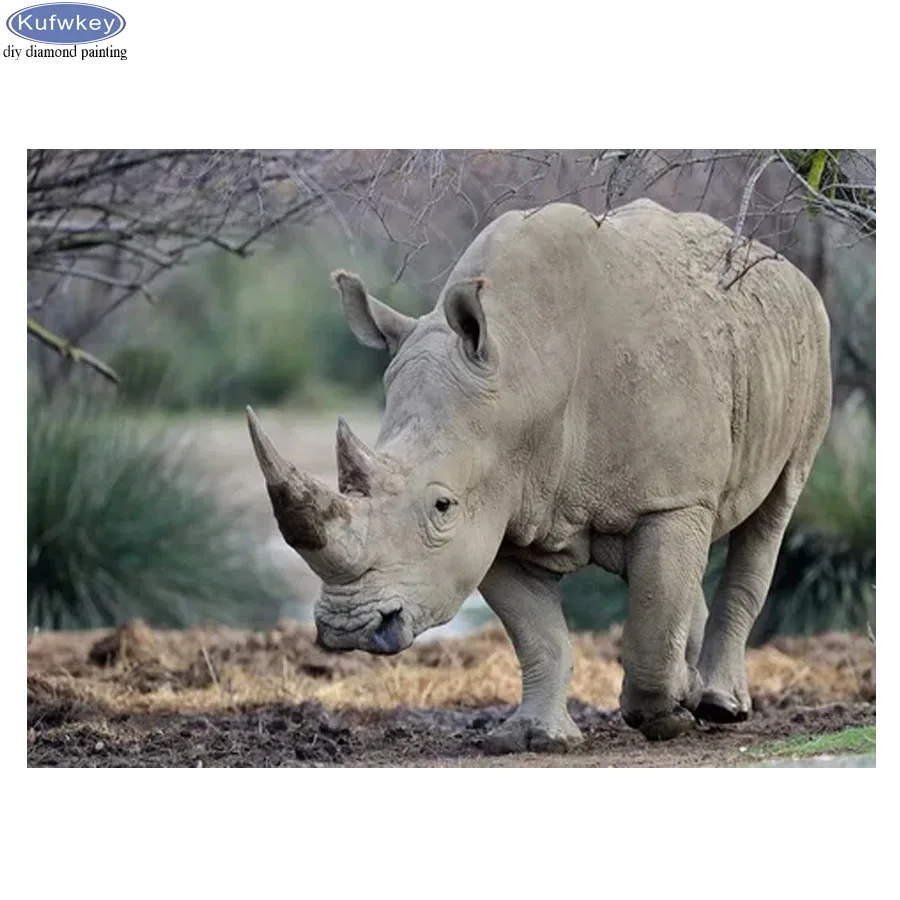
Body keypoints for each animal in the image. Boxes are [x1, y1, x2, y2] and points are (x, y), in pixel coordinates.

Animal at [247, 198, 831, 752]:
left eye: (442, 506)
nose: (349, 628)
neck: (522, 373)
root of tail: (787, 269)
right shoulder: (498, 512)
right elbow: (540, 636)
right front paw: (534, 737)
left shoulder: (671, 497)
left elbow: (650, 616)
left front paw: (664, 715)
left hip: (813, 341)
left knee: (773, 513)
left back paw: (718, 705)